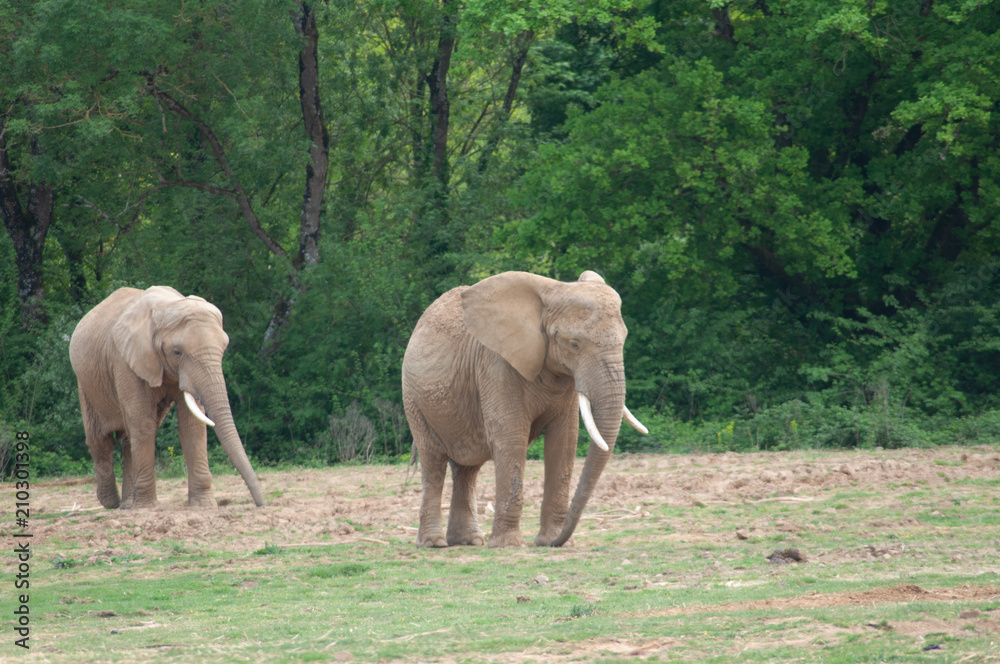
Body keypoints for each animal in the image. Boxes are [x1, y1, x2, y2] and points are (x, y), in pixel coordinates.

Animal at [69, 286, 265, 509]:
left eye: (224, 349)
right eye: (177, 352)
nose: (261, 504)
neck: (168, 307)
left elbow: (192, 426)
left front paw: (203, 505)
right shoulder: (126, 362)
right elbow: (143, 424)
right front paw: (147, 508)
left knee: (127, 439)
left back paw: (127, 504)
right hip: (85, 383)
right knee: (100, 440)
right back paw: (111, 502)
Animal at [401, 270, 646, 548]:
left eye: (624, 339)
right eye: (574, 344)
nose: (556, 542)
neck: (552, 294)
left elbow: (563, 441)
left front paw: (552, 541)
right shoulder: (497, 364)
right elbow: (511, 438)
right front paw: (509, 545)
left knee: (467, 468)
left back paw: (470, 541)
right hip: (414, 398)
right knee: (433, 461)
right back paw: (434, 543)